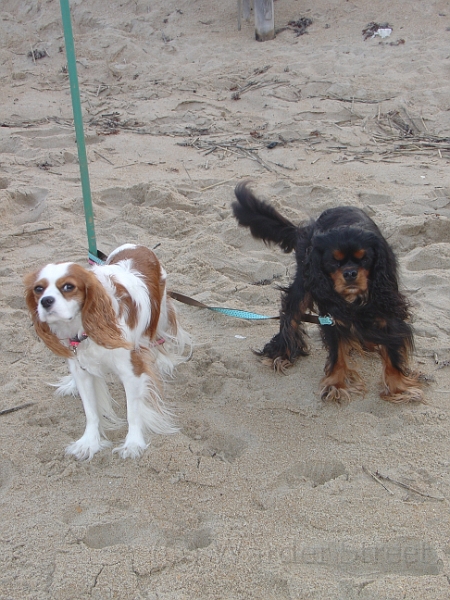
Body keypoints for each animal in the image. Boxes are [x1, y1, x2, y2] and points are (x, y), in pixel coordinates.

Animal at [24, 243, 191, 460]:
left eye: (68, 287)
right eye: (38, 289)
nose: (45, 301)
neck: (84, 328)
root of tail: (137, 246)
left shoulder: (131, 371)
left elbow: (132, 412)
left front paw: (133, 443)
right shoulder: (80, 366)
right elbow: (90, 411)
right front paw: (89, 442)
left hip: (159, 311)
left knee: (157, 336)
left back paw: (163, 360)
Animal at [232, 182, 423, 403]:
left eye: (365, 259)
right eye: (333, 262)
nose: (350, 273)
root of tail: (304, 230)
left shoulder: (387, 309)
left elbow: (392, 353)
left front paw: (398, 388)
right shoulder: (332, 316)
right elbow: (337, 352)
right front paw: (336, 384)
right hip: (304, 282)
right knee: (290, 314)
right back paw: (282, 352)